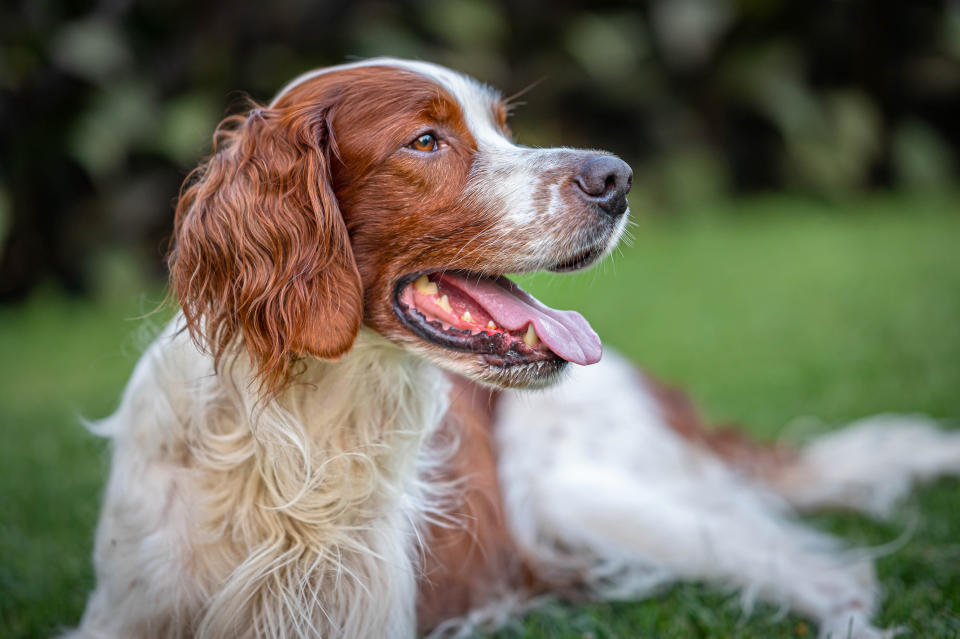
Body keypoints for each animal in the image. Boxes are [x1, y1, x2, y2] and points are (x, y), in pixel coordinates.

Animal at [69, 60, 960, 639]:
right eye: (425, 140)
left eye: (505, 129)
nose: (617, 176)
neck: (296, 440)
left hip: (590, 490)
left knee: (835, 576)